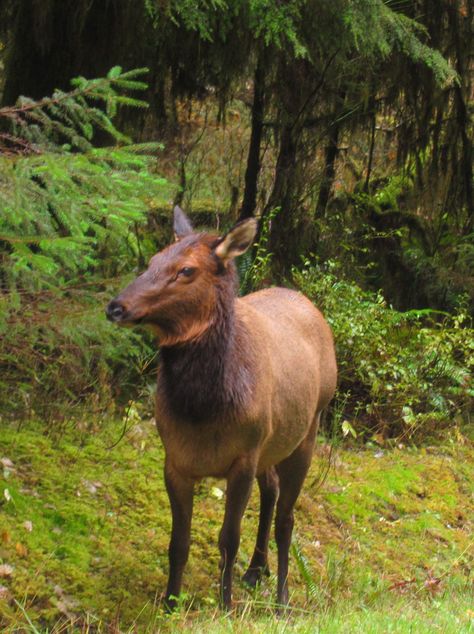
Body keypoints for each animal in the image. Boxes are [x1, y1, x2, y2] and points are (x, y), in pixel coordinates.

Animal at [106, 207, 336, 608]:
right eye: (152, 260)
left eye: (186, 270)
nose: (116, 306)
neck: (204, 410)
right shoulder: (175, 460)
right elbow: (177, 542)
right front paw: (170, 602)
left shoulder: (243, 456)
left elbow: (228, 540)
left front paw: (226, 605)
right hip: (271, 443)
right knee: (272, 490)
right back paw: (256, 571)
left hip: (306, 431)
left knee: (287, 519)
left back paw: (282, 598)